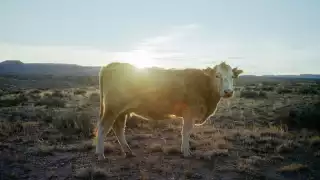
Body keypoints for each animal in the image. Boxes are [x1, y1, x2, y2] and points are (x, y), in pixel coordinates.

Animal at [95, 61, 242, 160]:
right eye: (217, 75)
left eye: (232, 76)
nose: (228, 92)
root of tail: (111, 65)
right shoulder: (189, 112)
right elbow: (186, 131)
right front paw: (186, 152)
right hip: (112, 109)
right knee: (103, 128)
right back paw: (100, 154)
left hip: (122, 111)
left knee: (118, 128)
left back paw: (128, 151)